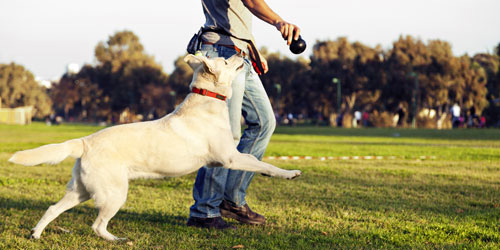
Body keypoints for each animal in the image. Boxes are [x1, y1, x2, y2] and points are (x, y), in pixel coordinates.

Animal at [8, 54, 300, 240]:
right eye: (227, 61)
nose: (242, 53)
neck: (207, 100)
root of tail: (84, 141)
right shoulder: (230, 157)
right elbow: (261, 163)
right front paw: (289, 173)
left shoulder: (226, 159)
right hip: (114, 193)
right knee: (97, 225)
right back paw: (117, 240)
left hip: (81, 191)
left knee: (52, 208)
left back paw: (36, 234)